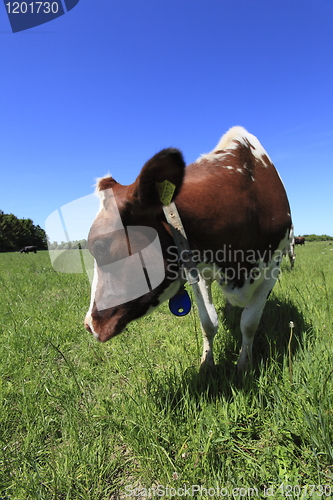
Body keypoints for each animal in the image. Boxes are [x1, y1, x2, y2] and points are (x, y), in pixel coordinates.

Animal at [84, 127, 292, 374]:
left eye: (100, 246)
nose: (89, 324)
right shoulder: (198, 268)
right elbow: (209, 323)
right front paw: (207, 364)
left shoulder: (273, 269)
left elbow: (249, 323)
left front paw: (244, 365)